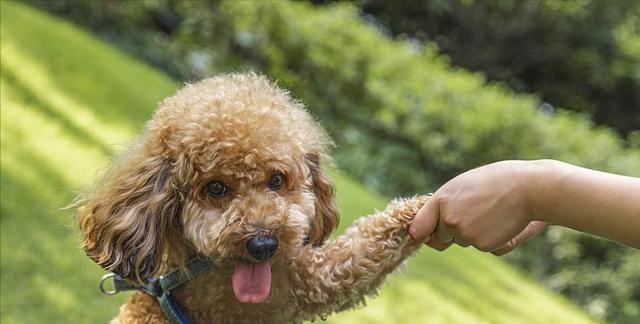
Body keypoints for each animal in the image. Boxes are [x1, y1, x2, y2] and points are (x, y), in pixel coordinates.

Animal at [76, 73, 430, 324]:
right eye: (216, 188)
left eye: (277, 180)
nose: (263, 245)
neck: (204, 266)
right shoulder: (308, 284)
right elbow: (362, 246)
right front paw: (419, 205)